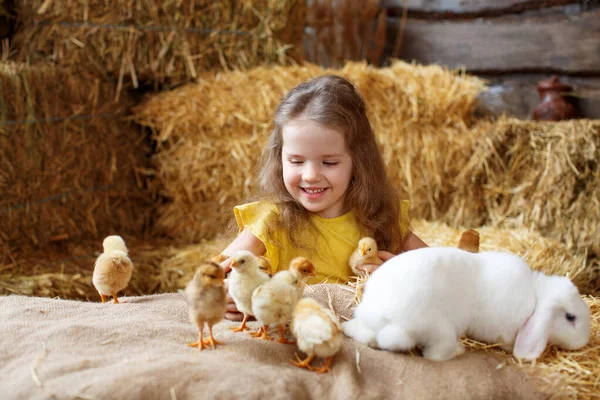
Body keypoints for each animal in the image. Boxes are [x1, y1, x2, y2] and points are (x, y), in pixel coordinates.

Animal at [342, 248, 592, 360]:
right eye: (570, 317)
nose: (585, 340)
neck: (536, 297)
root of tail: (379, 314)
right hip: (439, 329)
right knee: (435, 354)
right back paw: (459, 350)